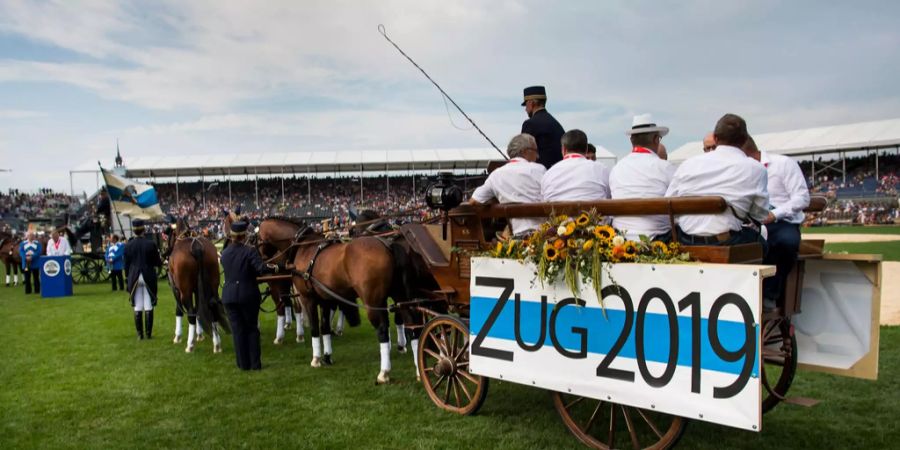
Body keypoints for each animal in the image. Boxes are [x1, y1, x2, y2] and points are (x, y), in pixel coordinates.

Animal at [164, 216, 229, 354]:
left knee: (191, 312)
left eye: (168, 234)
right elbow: (199, 307)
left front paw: (178, 336)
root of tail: (197, 248)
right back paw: (217, 344)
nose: (164, 252)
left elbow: (179, 310)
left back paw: (190, 345)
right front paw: (200, 335)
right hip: (213, 285)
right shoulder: (197, 289)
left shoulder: (178, 290)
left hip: (185, 292)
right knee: (212, 306)